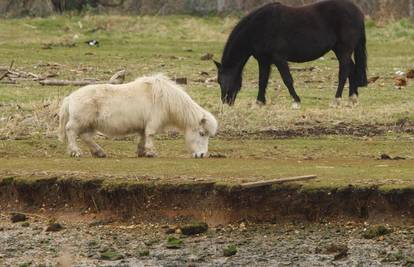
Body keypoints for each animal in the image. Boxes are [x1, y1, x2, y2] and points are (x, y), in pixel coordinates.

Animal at [60, 74, 220, 159]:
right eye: (202, 133)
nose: (201, 154)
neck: (166, 99)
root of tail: (70, 97)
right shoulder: (153, 123)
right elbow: (150, 135)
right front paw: (151, 152)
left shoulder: (145, 124)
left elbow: (143, 136)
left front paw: (141, 151)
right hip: (79, 122)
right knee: (71, 132)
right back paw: (75, 151)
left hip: (90, 124)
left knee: (85, 136)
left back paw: (99, 152)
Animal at [215, 1, 368, 108]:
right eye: (219, 81)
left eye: (224, 80)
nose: (226, 102)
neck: (259, 27)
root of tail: (358, 12)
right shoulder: (264, 60)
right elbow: (262, 81)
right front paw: (259, 102)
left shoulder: (279, 58)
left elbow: (287, 79)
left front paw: (296, 101)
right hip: (339, 50)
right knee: (352, 69)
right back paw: (352, 98)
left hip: (344, 49)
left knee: (344, 72)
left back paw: (336, 100)